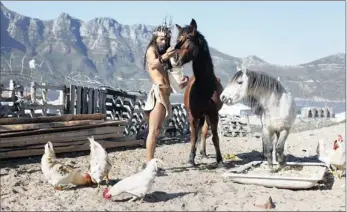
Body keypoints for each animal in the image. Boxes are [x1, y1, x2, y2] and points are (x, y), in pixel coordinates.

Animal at [174, 18, 226, 167]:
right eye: (177, 38)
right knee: (199, 134)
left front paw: (220, 160)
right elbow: (193, 137)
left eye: (188, 38)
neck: (204, 86)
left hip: (207, 116)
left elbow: (215, 137)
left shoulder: (213, 114)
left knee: (203, 133)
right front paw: (191, 159)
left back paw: (203, 152)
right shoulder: (193, 115)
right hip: (201, 116)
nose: (175, 59)